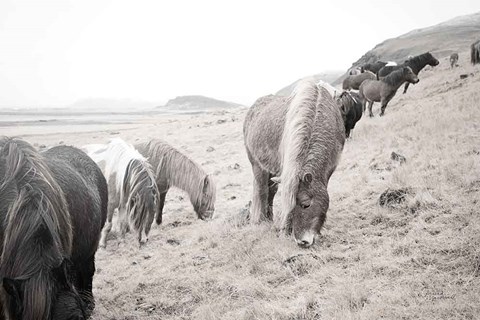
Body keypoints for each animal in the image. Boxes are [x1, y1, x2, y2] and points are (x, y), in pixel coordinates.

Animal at [244, 78, 344, 248]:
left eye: (305, 204)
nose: (302, 241)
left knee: (271, 192)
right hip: (258, 166)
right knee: (262, 192)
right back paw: (262, 221)